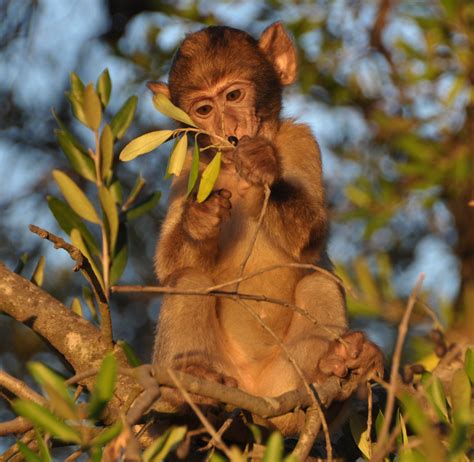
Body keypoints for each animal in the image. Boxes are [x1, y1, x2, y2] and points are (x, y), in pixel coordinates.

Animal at [150, 20, 384, 434]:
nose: (229, 128)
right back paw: (189, 389)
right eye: (204, 109)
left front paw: (261, 164)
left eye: (234, 94)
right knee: (188, 279)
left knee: (318, 282)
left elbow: (310, 237)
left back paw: (334, 371)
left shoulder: (302, 140)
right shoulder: (188, 171)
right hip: (226, 373)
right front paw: (200, 219)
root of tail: (255, 396)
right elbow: (168, 266)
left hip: (285, 380)